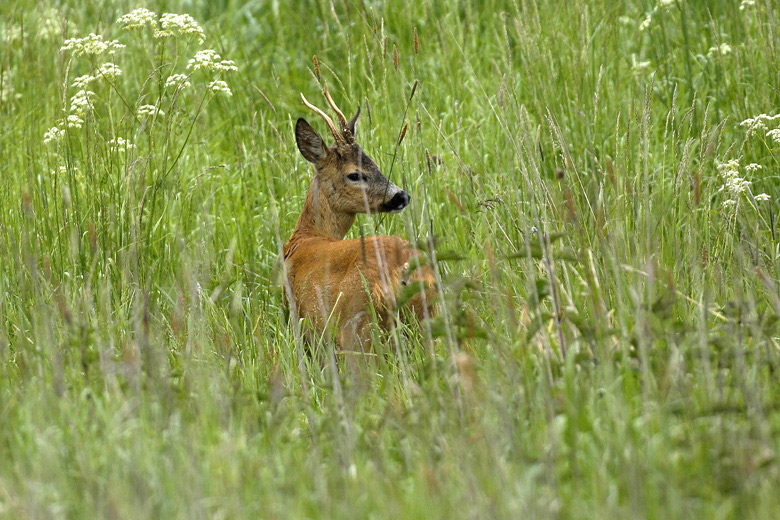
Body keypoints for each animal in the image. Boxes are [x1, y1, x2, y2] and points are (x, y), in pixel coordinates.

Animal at [282, 86, 438, 366]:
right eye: (355, 174)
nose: (401, 196)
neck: (306, 237)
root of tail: (404, 270)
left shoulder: (301, 325)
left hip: (358, 331)